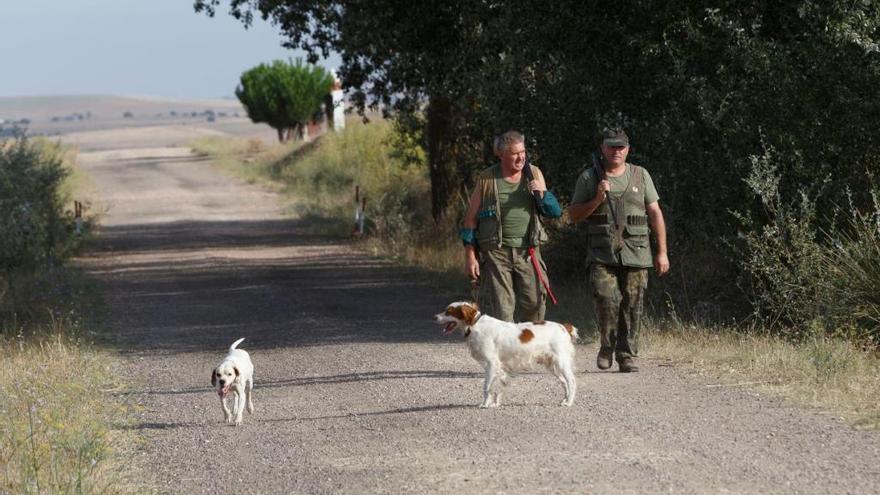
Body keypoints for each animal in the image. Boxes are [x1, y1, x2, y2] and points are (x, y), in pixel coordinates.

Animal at [434, 300, 576, 408]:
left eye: (449, 311)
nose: (434, 317)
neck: (474, 325)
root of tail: (564, 327)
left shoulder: (491, 364)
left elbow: (487, 387)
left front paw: (485, 404)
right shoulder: (498, 367)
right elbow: (496, 386)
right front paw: (495, 403)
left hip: (561, 363)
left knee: (572, 381)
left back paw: (569, 402)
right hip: (552, 366)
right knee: (564, 382)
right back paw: (565, 399)